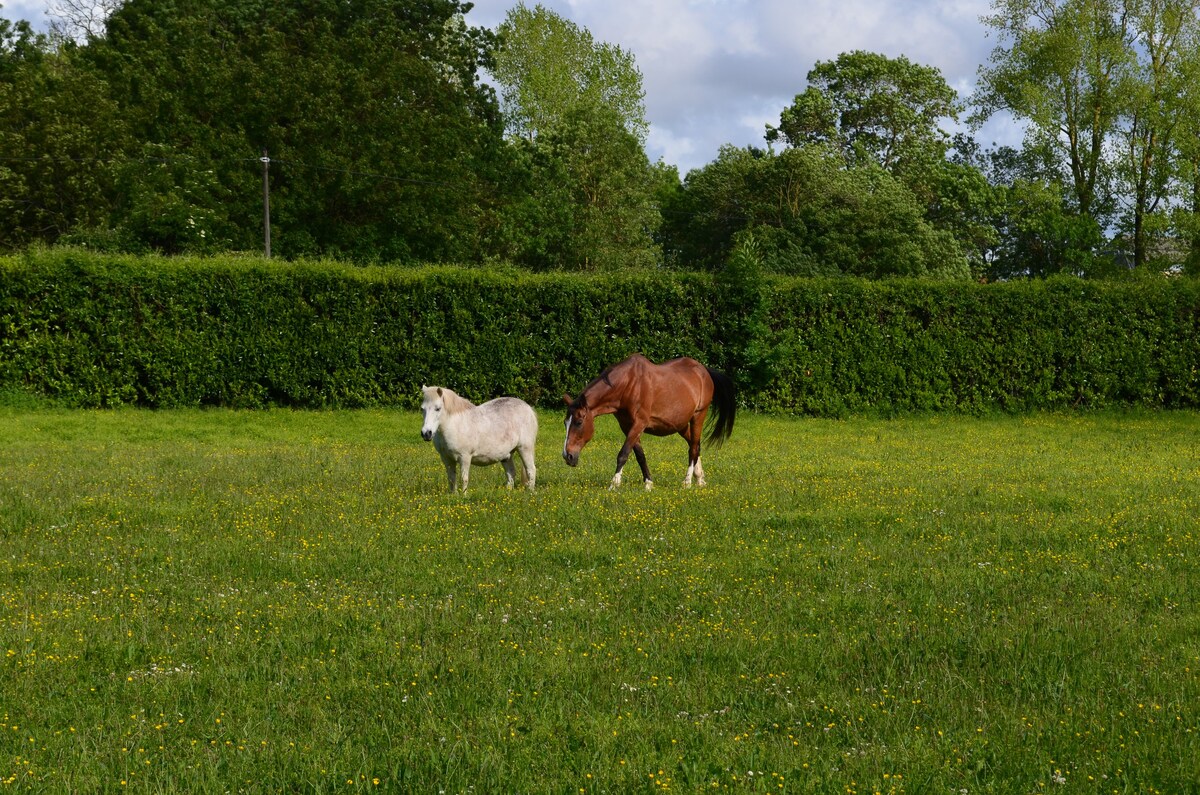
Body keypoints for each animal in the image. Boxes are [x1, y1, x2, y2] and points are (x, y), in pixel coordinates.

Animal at [561, 355, 729, 492]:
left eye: (579, 422)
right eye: (565, 423)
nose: (568, 456)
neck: (628, 384)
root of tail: (703, 371)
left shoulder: (639, 424)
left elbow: (623, 454)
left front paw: (614, 485)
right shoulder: (627, 426)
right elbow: (640, 456)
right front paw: (648, 484)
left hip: (698, 416)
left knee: (693, 448)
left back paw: (687, 482)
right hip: (680, 424)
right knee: (695, 444)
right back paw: (699, 479)